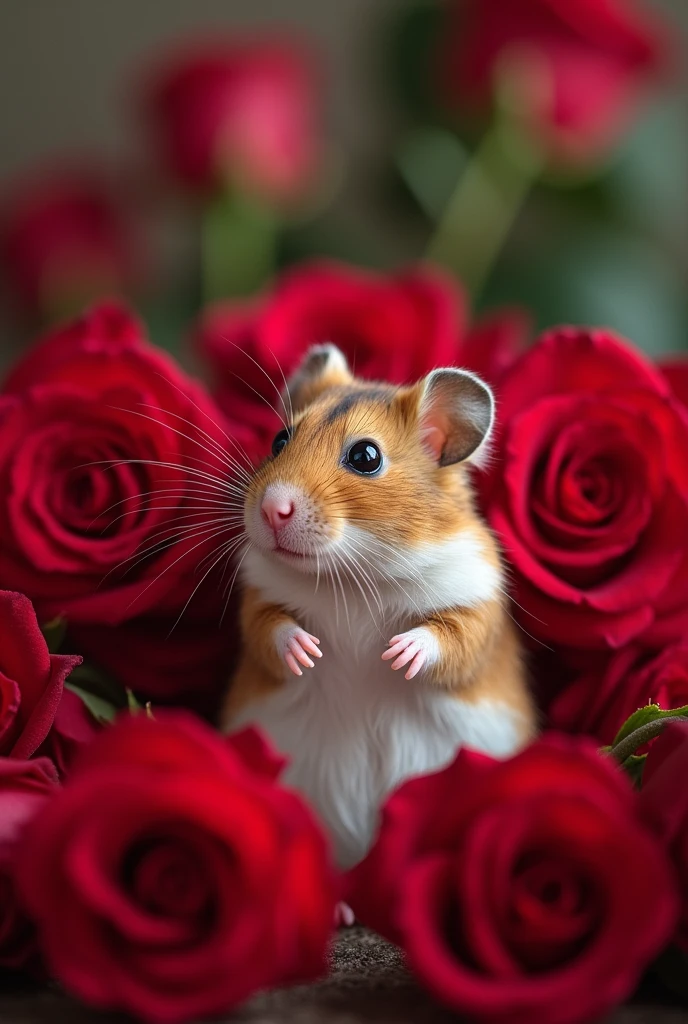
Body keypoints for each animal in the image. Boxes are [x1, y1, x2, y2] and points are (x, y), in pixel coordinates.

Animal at [223, 342, 536, 864]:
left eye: (365, 456)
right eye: (279, 440)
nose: (271, 509)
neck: (352, 575)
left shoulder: (477, 608)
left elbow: (448, 639)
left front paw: (395, 655)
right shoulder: (260, 600)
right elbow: (271, 630)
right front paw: (309, 652)